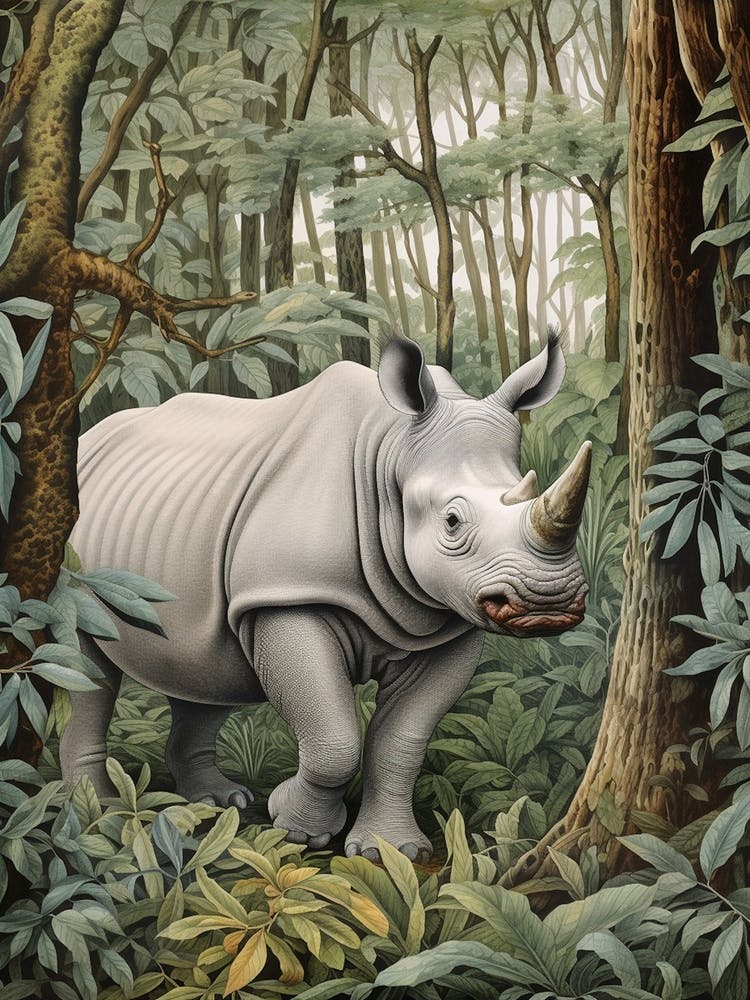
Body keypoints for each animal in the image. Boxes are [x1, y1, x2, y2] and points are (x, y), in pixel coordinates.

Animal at [62, 331, 590, 860]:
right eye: (452, 521)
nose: (548, 603)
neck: (390, 454)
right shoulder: (287, 595)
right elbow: (334, 740)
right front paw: (296, 827)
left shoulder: (447, 622)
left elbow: (402, 742)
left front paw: (390, 851)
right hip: (76, 550)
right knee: (87, 663)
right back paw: (98, 810)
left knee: (204, 667)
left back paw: (217, 800)